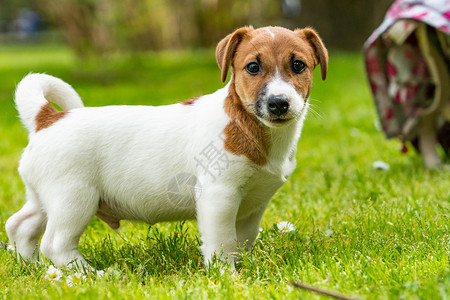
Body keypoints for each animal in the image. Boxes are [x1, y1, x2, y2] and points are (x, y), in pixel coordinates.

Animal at [6, 25, 326, 270]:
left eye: (298, 65)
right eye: (253, 67)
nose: (278, 103)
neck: (249, 126)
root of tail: (47, 118)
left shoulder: (253, 206)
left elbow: (242, 241)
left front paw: (245, 268)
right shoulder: (218, 196)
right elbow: (222, 243)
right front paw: (227, 276)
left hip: (44, 198)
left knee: (19, 225)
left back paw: (35, 269)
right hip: (73, 200)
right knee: (55, 244)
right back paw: (91, 275)